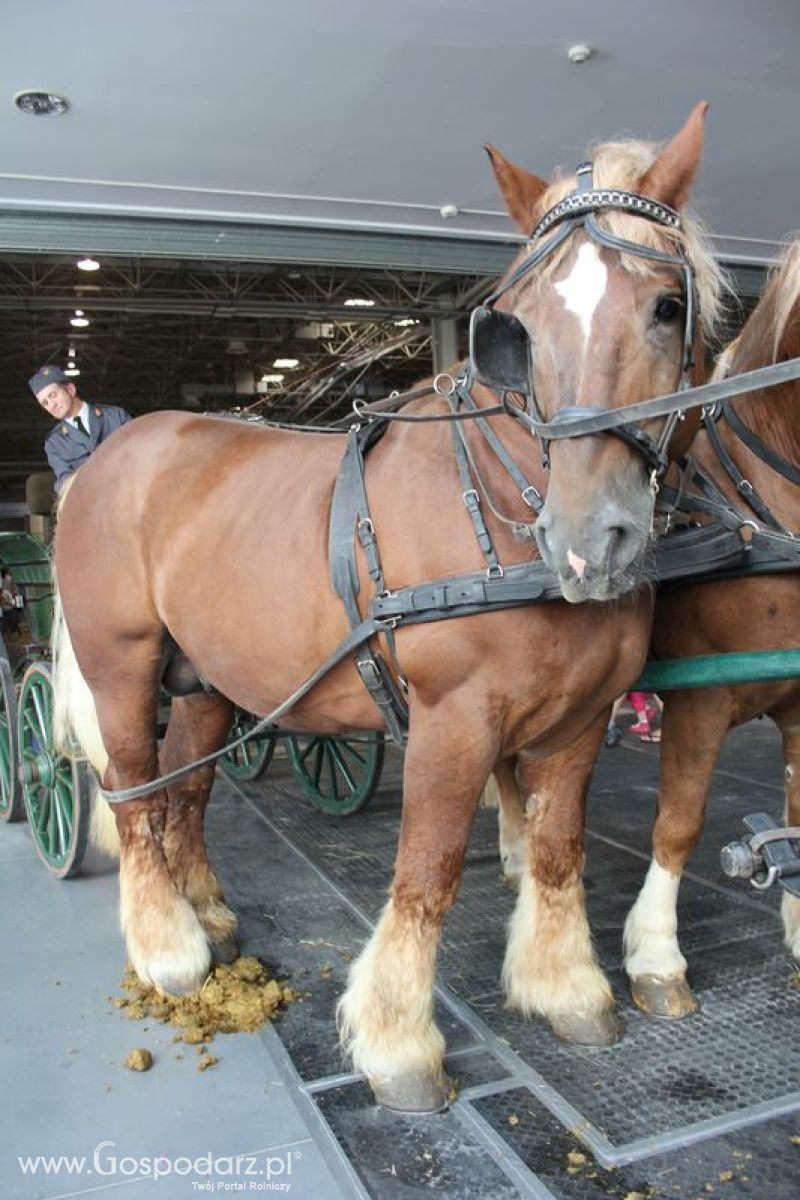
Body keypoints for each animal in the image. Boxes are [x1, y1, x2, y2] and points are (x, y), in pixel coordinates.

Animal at [53, 108, 724, 1108]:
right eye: (517, 328)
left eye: (667, 307)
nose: (586, 539)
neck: (502, 499)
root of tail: (112, 452)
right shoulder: (453, 720)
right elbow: (429, 869)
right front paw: (399, 1043)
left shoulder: (582, 716)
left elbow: (557, 849)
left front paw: (568, 990)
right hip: (122, 666)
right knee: (132, 791)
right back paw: (168, 950)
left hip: (209, 681)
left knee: (187, 789)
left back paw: (206, 913)